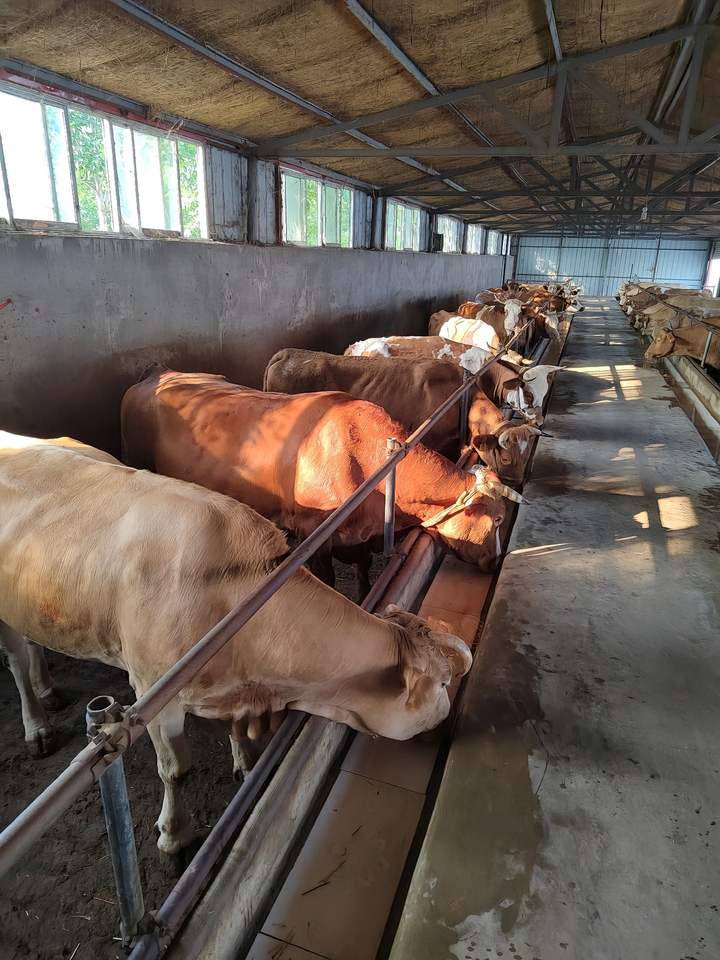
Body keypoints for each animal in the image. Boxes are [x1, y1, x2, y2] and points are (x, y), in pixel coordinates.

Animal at [0, 432, 472, 854]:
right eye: (442, 684)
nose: (451, 722)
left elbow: (233, 729)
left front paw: (244, 762)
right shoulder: (153, 694)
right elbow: (175, 771)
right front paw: (175, 836)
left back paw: (48, 688)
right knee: (16, 660)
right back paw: (37, 724)